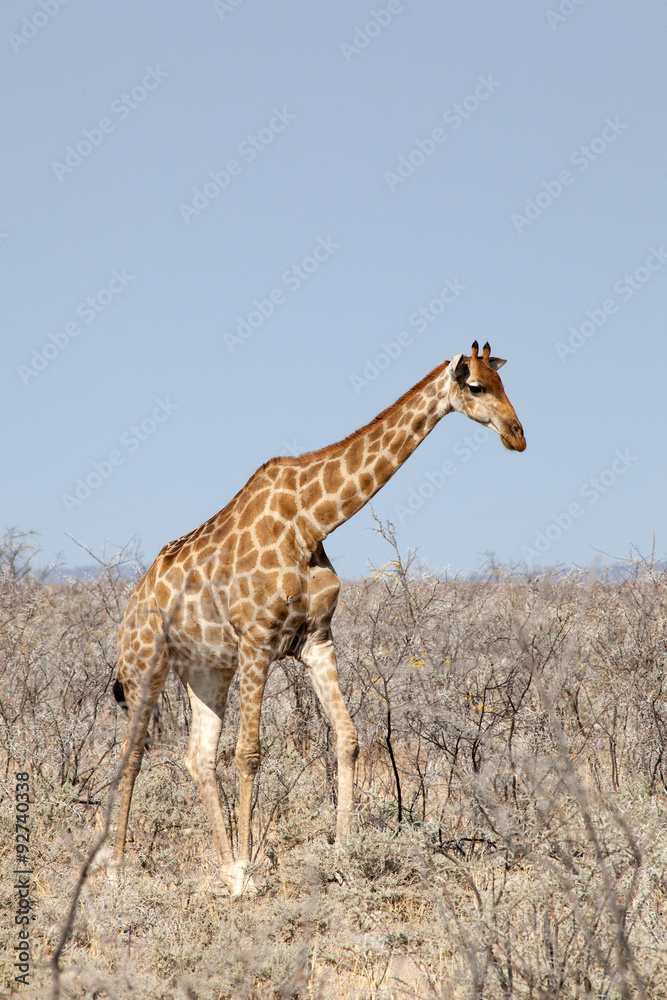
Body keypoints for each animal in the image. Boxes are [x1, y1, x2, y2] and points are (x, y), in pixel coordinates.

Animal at [112, 340, 525, 895]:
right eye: (476, 387)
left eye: (504, 384)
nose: (517, 435)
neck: (311, 521)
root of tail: (131, 606)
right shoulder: (258, 640)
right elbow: (249, 754)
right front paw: (248, 873)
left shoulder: (316, 639)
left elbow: (347, 739)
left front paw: (344, 854)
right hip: (145, 667)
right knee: (133, 754)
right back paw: (117, 871)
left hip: (205, 669)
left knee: (197, 757)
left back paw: (220, 866)